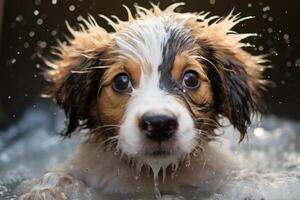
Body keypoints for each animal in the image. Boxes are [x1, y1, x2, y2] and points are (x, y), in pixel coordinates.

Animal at [21, 3, 264, 200]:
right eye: (121, 81)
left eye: (191, 78)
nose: (159, 124)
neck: (154, 174)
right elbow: (56, 176)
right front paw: (46, 192)